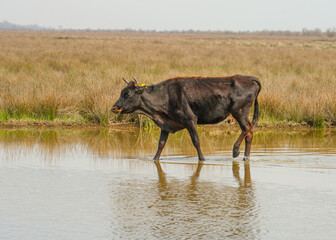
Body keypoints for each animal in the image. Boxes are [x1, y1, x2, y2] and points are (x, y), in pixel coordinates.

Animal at [111, 75, 262, 161]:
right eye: (122, 92)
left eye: (127, 94)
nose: (114, 107)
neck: (166, 96)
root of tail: (247, 78)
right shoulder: (165, 124)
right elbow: (161, 144)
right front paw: (154, 159)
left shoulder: (190, 121)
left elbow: (196, 141)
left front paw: (202, 159)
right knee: (249, 132)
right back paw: (246, 157)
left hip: (239, 112)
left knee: (247, 129)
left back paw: (236, 151)